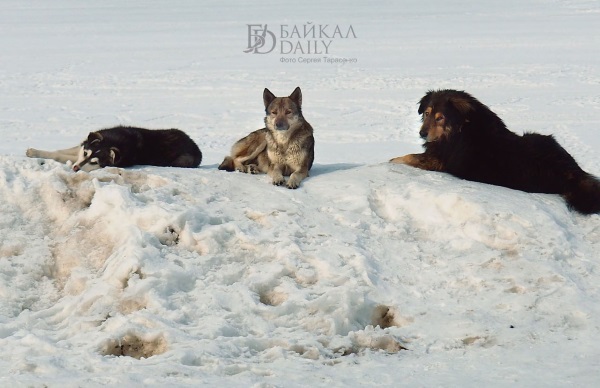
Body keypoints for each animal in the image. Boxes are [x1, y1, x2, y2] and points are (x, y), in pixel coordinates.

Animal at [394, 89, 600, 214]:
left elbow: (405, 157)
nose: (422, 133)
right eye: (427, 114)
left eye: (440, 118)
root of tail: (573, 173)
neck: (460, 127)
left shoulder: (439, 161)